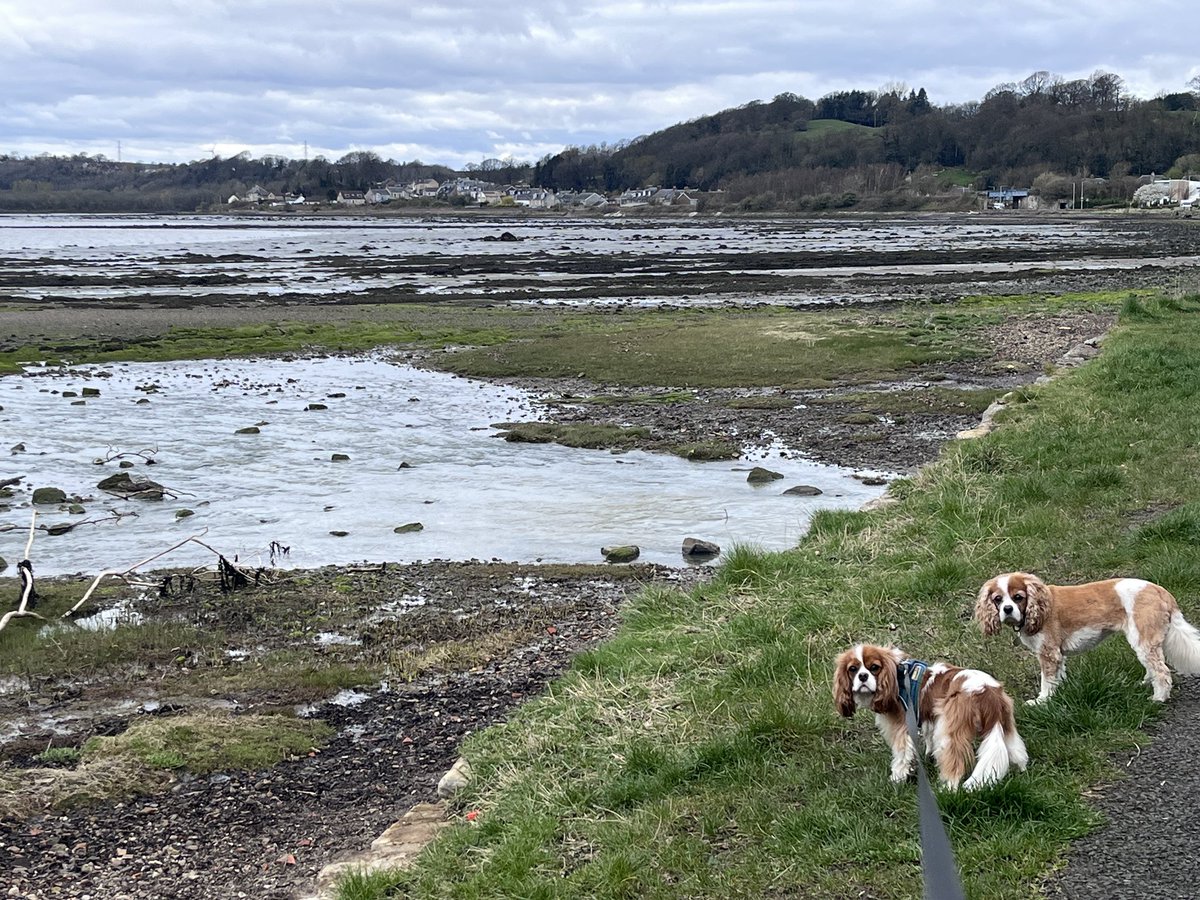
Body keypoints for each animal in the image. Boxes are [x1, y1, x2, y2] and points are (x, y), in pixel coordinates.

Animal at [830, 648, 1027, 787]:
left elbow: (901, 756)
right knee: (1016, 750)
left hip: (949, 731)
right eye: (853, 669)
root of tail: (987, 692)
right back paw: (1021, 770)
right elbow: (928, 741)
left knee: (954, 763)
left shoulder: (902, 727)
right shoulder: (928, 720)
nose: (863, 676)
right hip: (1005, 724)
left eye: (874, 668)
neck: (897, 676)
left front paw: (896, 779)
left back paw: (947, 789)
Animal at [969, 573, 1200, 710]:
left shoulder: (1048, 653)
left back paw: (1158, 698)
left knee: (1162, 672)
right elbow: (1058, 677)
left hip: (1143, 639)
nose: (1007, 609)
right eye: (998, 599)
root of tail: (1161, 591)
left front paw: (1042, 701)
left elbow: (1046, 681)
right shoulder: (1058, 654)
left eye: (1018, 597)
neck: (1039, 608)